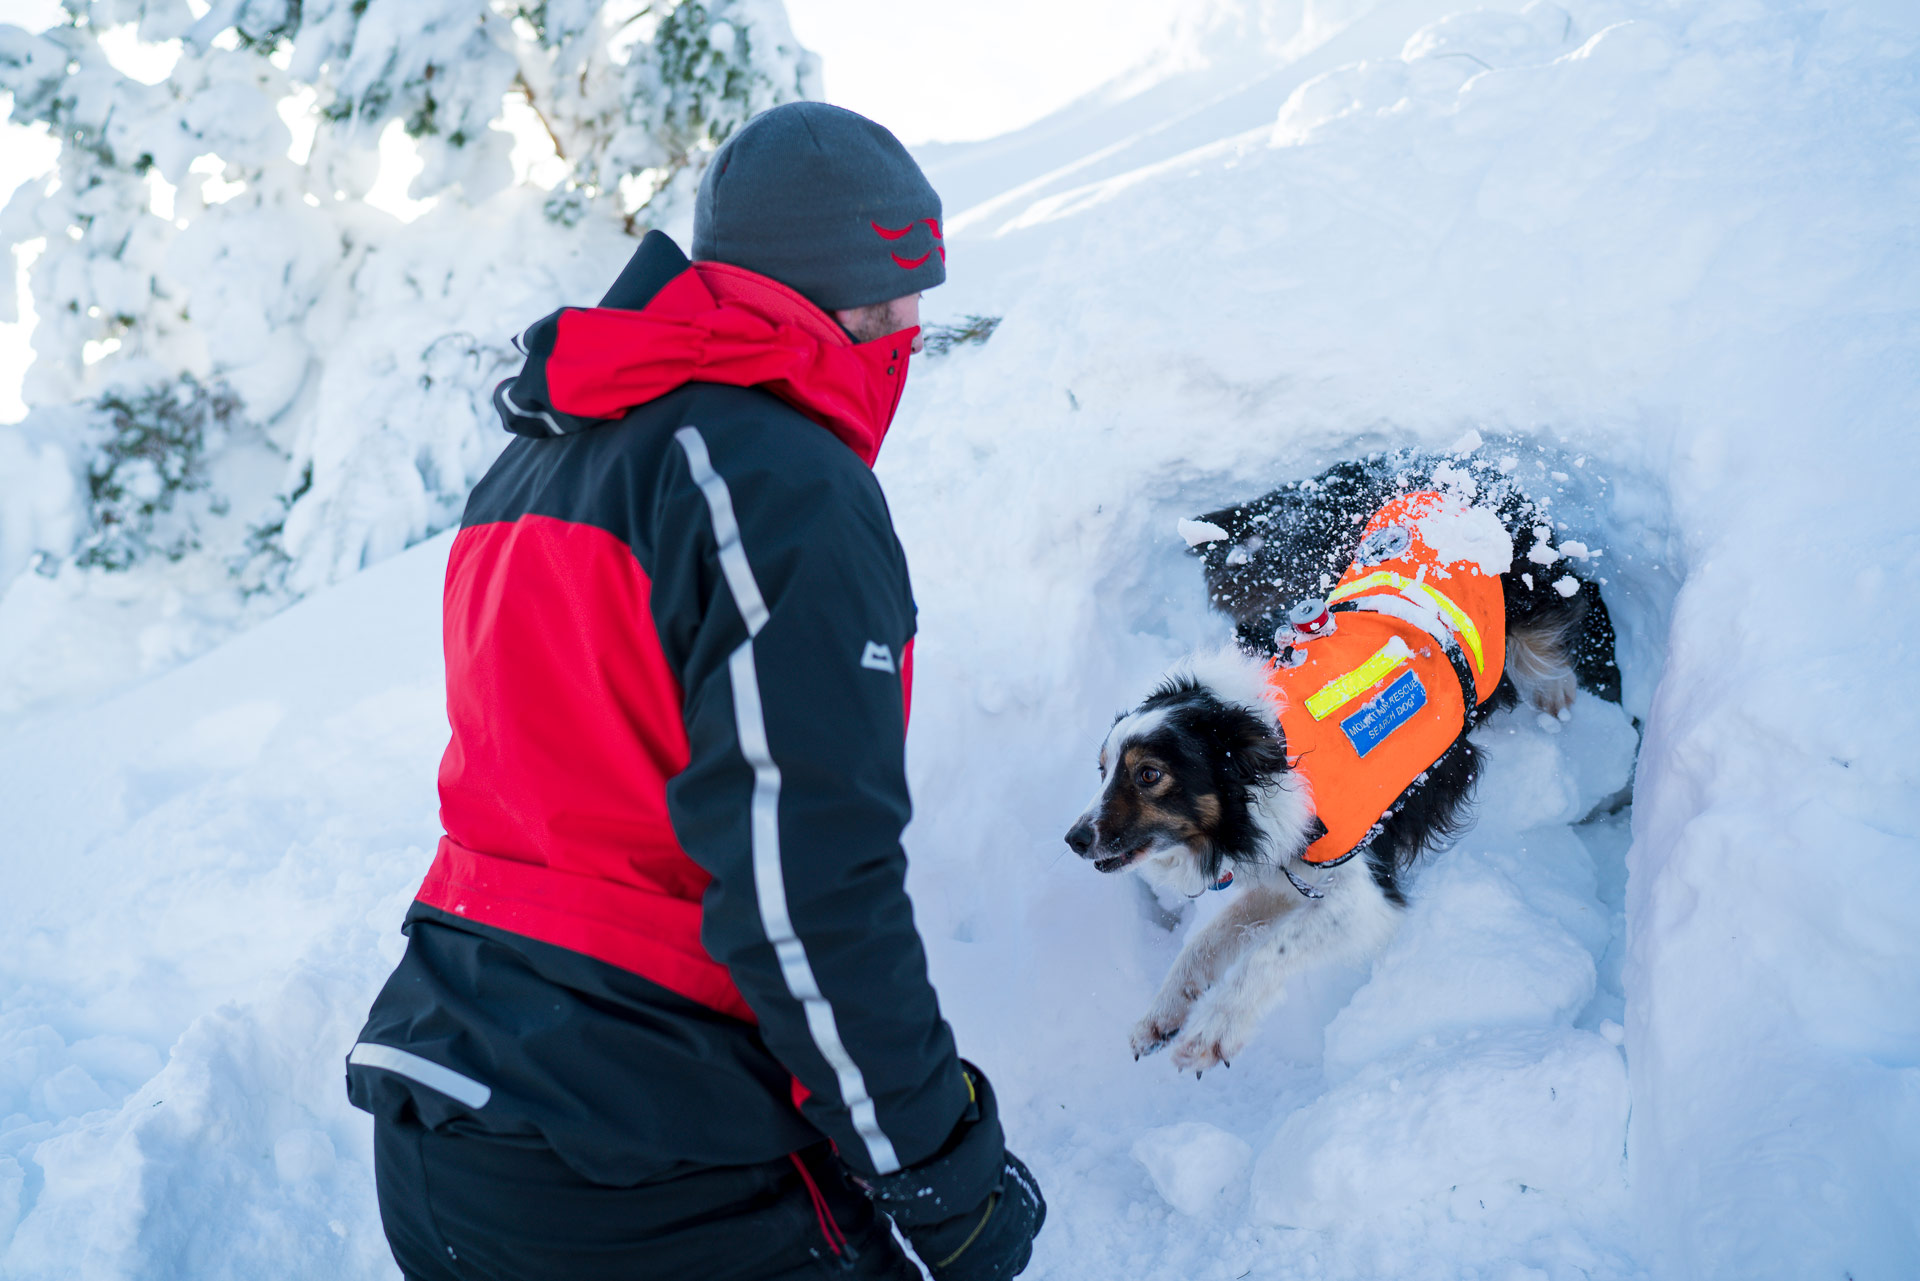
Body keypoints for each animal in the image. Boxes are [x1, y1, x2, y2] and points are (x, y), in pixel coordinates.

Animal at [1067, 451, 1620, 1075]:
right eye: (1103, 770)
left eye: (1149, 775)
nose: (1074, 839)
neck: (1268, 759)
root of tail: (1463, 468)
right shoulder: (1288, 867)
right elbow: (1211, 940)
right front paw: (1163, 1013)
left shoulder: (1364, 893)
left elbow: (1269, 953)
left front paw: (1213, 1031)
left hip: (1532, 603)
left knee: (1550, 645)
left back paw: (1557, 703)